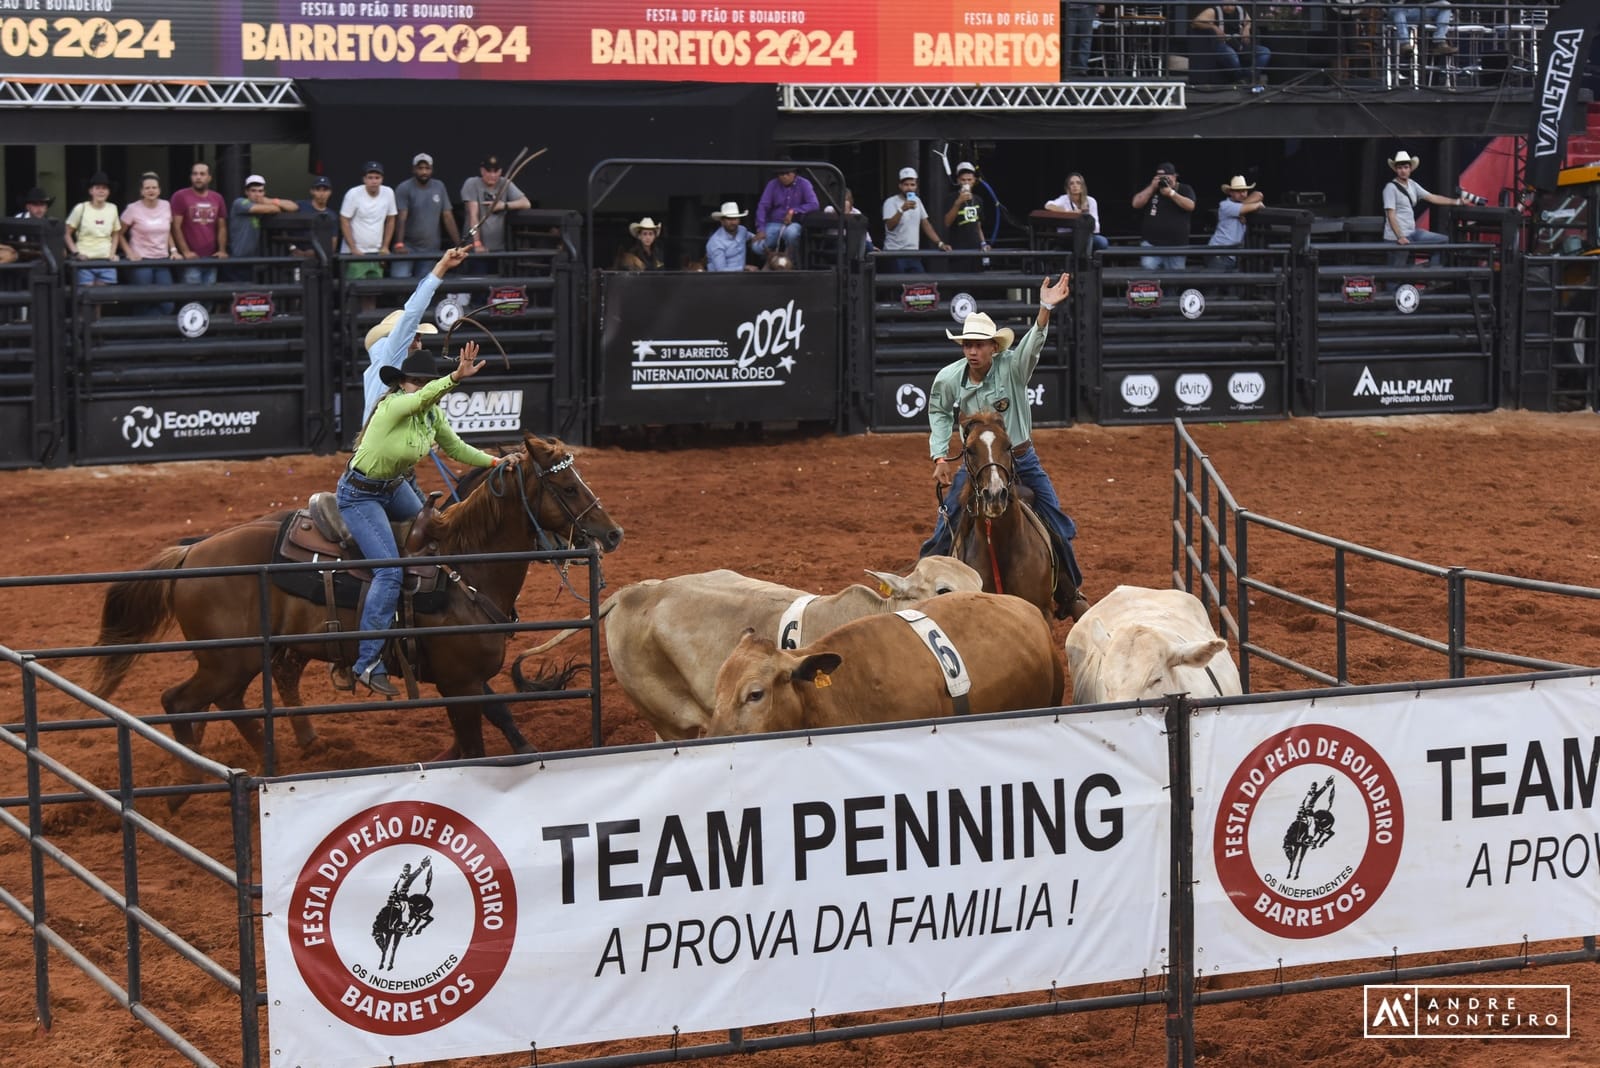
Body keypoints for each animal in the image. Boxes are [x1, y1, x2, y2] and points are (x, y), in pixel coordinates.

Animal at [87, 434, 624, 767]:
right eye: (567, 486)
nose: (612, 533)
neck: (465, 570)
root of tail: (191, 553)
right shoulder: (460, 679)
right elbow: (483, 737)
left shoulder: (465, 680)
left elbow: (498, 720)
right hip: (226, 660)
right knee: (180, 702)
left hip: (239, 661)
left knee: (232, 701)